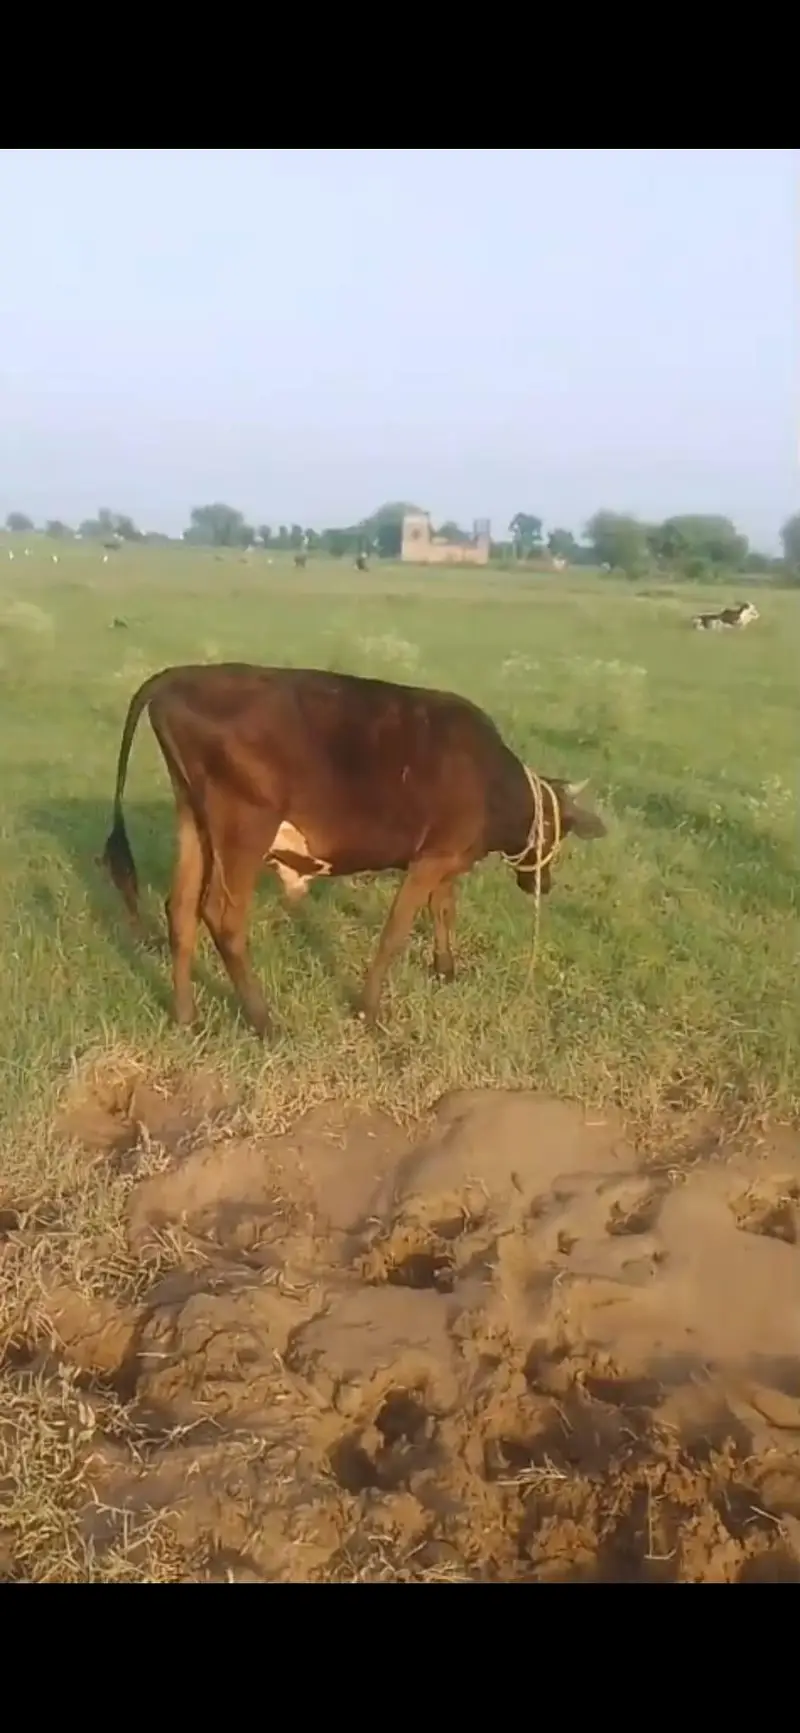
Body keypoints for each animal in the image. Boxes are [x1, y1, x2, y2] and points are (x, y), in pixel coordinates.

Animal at [101, 664, 606, 1038]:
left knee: (182, 909)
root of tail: (179, 676)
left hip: (194, 820)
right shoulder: (431, 859)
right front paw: (369, 1010)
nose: (543, 883)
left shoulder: (445, 856)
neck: (489, 779)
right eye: (557, 831)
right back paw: (264, 1022)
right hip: (245, 827)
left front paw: (446, 970)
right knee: (223, 917)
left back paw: (186, 1016)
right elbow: (395, 932)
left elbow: (443, 909)